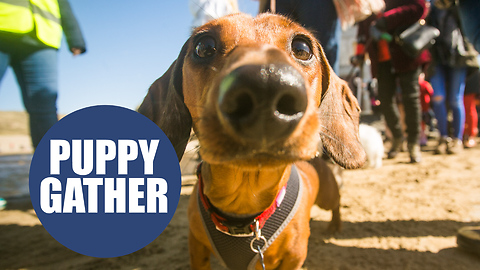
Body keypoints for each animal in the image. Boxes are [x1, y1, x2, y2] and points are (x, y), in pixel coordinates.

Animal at [141, 12, 366, 270]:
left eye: (302, 48)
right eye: (203, 46)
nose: (266, 85)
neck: (245, 203)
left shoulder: (294, 258)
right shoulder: (196, 247)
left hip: (327, 196)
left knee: (336, 203)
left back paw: (335, 224)